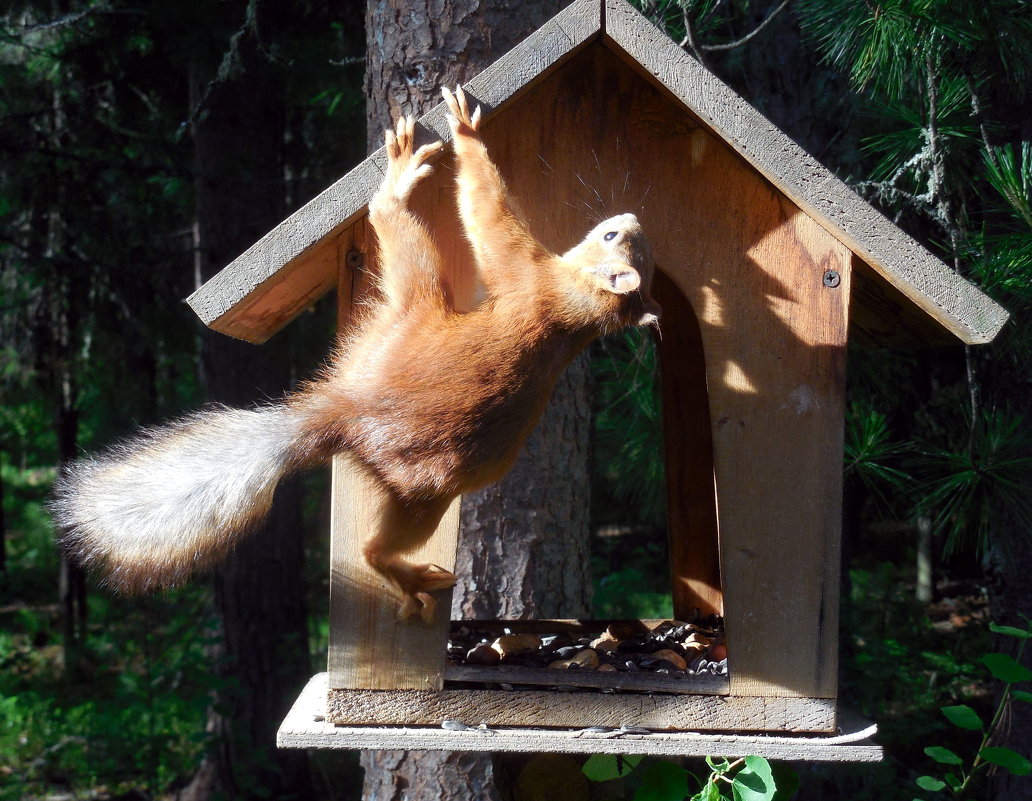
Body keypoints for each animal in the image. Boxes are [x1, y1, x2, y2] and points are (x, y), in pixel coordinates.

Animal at [52, 87, 660, 623]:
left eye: (613, 239)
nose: (632, 217)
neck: (576, 306)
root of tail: (349, 409)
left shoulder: (523, 269)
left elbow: (488, 211)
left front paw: (467, 132)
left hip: (409, 342)